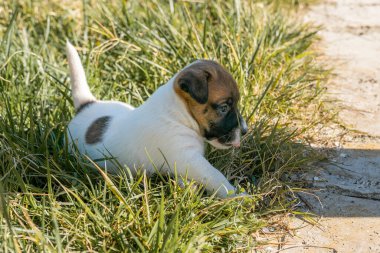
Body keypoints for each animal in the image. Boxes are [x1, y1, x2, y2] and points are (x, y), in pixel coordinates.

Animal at [66, 41, 249, 199]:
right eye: (223, 108)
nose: (245, 130)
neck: (177, 114)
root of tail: (87, 105)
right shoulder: (189, 159)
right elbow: (216, 177)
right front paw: (238, 196)